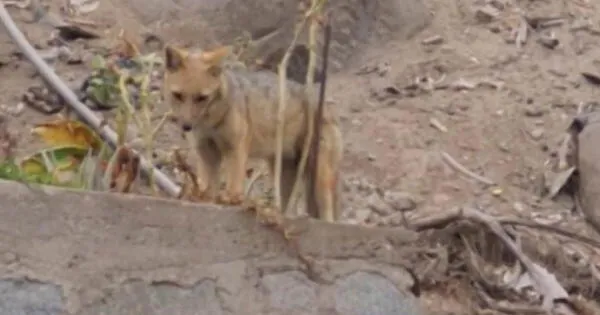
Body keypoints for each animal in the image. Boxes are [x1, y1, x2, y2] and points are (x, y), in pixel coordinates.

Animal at [163, 45, 342, 222]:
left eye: (202, 98)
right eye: (178, 95)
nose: (186, 126)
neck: (210, 123)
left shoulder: (236, 149)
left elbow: (234, 186)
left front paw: (231, 201)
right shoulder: (206, 151)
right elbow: (208, 187)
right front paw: (205, 200)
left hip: (319, 176)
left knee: (328, 214)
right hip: (283, 173)